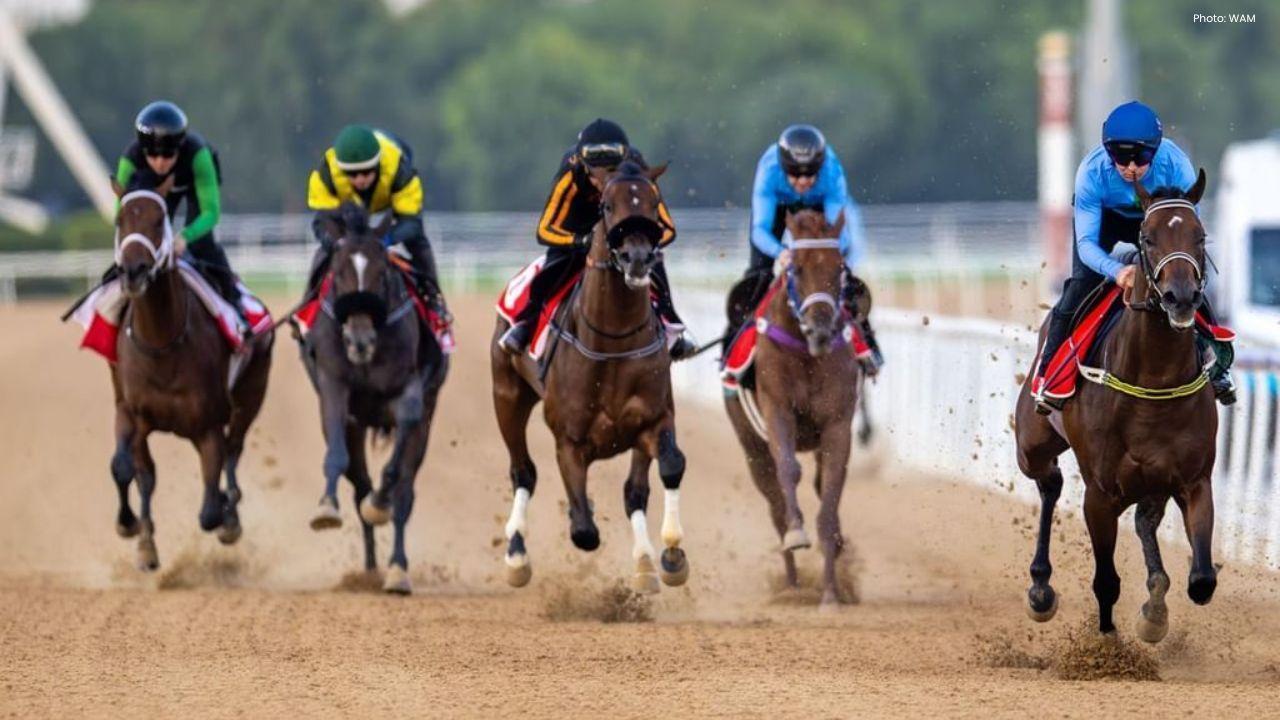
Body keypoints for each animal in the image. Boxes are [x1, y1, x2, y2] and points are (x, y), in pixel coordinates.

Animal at [108, 177, 273, 570]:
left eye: (160, 220)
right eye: (121, 218)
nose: (134, 271)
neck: (162, 342)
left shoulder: (206, 425)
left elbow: (209, 511)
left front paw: (226, 513)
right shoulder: (131, 413)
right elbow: (127, 470)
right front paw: (133, 530)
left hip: (251, 395)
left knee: (234, 448)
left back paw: (231, 512)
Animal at [301, 202, 449, 594]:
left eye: (382, 272)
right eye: (337, 272)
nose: (360, 340)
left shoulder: (410, 391)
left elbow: (395, 475)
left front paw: (380, 503)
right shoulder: (334, 386)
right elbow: (336, 456)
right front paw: (326, 508)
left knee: (404, 494)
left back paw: (396, 570)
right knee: (359, 485)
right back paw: (368, 571)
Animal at [491, 160, 690, 594]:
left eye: (654, 203)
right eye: (607, 206)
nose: (637, 258)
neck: (613, 340)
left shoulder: (653, 419)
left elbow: (665, 470)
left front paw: (668, 555)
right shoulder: (569, 439)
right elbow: (584, 530)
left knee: (634, 491)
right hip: (507, 397)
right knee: (523, 471)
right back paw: (516, 555)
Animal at [723, 209, 861, 607]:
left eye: (839, 267)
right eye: (796, 268)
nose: (820, 330)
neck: (806, 354)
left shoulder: (837, 424)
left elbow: (830, 492)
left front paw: (830, 593)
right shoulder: (777, 411)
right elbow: (788, 471)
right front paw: (797, 534)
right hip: (751, 446)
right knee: (773, 501)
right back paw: (792, 584)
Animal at [1015, 170, 1218, 640]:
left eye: (1200, 236)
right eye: (1148, 237)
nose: (1181, 297)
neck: (1154, 382)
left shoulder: (1194, 479)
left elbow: (1201, 579)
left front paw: (1153, 614)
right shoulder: (1100, 495)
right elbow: (1106, 581)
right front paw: (1107, 644)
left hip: (1153, 482)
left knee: (1144, 520)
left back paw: (1155, 602)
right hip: (1031, 446)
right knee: (1049, 483)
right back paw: (1040, 589)